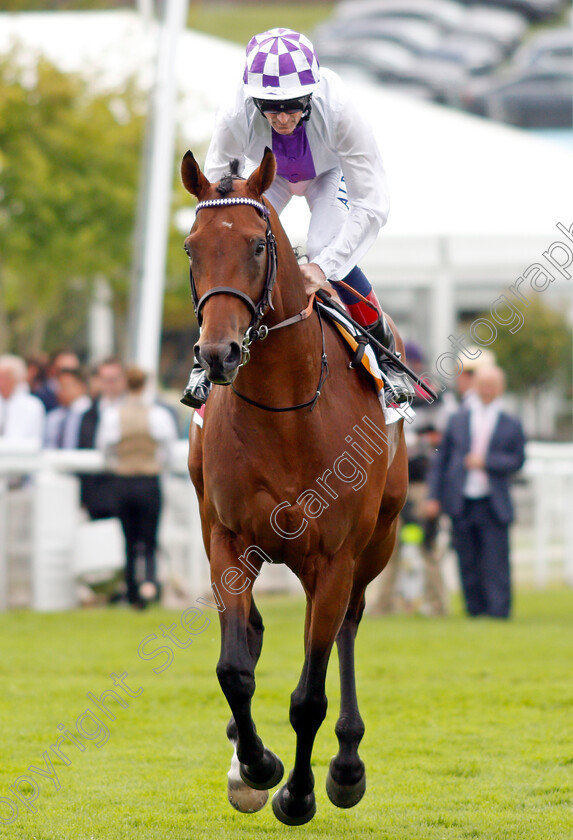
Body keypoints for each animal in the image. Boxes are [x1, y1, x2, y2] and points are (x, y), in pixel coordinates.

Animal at [181, 148, 408, 824]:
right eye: (190, 247)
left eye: (258, 246)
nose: (220, 353)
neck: (285, 411)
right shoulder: (228, 539)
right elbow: (234, 667)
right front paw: (256, 767)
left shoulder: (334, 556)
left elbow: (310, 695)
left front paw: (302, 790)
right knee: (258, 632)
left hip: (378, 542)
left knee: (348, 625)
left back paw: (347, 763)